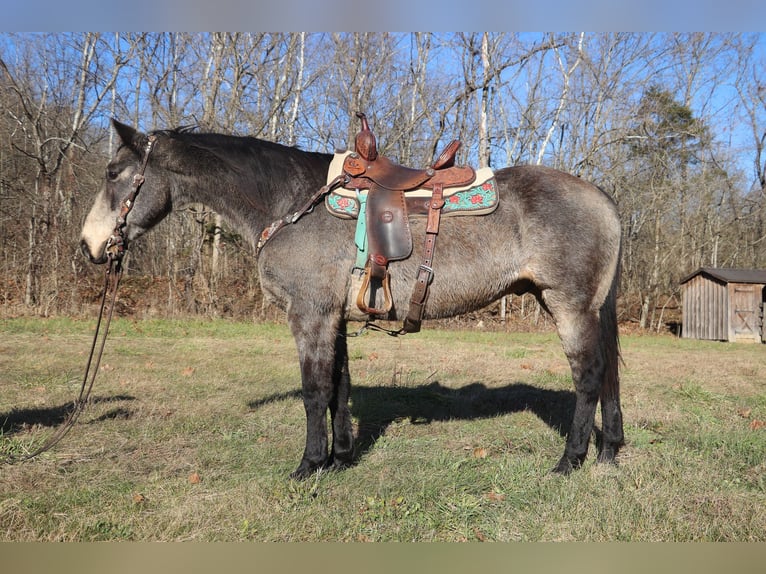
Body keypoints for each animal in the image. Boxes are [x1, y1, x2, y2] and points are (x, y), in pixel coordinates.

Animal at [82, 121, 624, 482]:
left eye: (112, 172)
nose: (89, 246)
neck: (291, 203)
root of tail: (603, 197)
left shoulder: (309, 316)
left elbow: (314, 391)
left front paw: (308, 465)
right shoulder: (334, 317)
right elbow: (339, 387)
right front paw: (340, 457)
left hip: (569, 306)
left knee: (589, 376)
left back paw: (569, 461)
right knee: (607, 376)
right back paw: (608, 451)